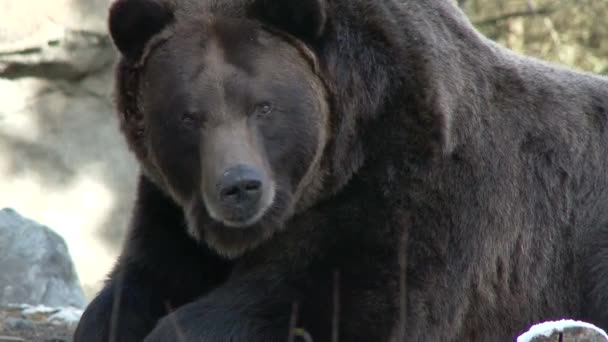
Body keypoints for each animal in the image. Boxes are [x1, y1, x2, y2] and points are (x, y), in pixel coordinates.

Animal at [73, 0, 608, 340]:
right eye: (189, 116)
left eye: (263, 106)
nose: (240, 187)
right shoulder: (171, 211)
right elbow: (137, 287)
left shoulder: (408, 190)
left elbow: (318, 302)